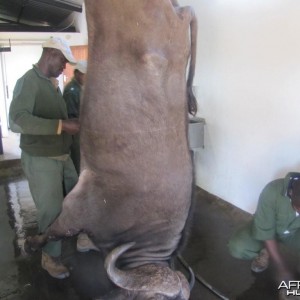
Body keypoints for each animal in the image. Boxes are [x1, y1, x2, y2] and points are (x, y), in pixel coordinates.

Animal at [25, 0, 198, 298]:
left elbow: (59, 229)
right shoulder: (78, 207)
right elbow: (54, 229)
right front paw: (33, 242)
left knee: (188, 11)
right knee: (190, 12)